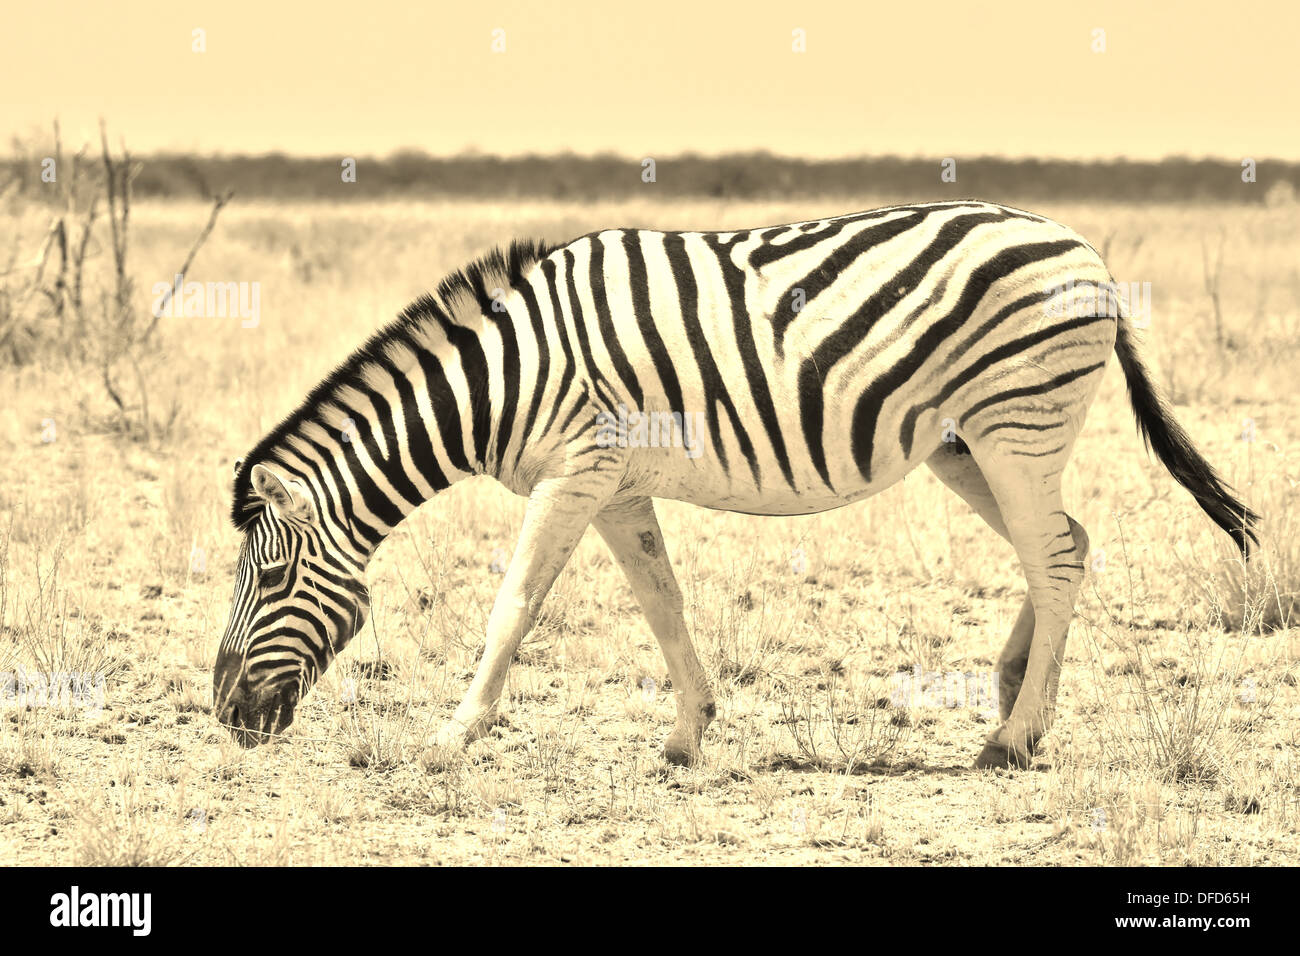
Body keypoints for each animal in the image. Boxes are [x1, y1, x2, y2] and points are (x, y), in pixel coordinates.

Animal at [213, 200, 1258, 770]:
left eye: (268, 579)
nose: (224, 715)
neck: (505, 376)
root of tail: (1087, 252)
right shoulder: (615, 484)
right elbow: (661, 600)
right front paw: (689, 733)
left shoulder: (575, 471)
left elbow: (514, 605)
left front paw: (452, 736)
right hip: (969, 445)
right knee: (1069, 545)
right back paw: (1013, 701)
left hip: (1015, 423)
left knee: (1053, 557)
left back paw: (1014, 736)